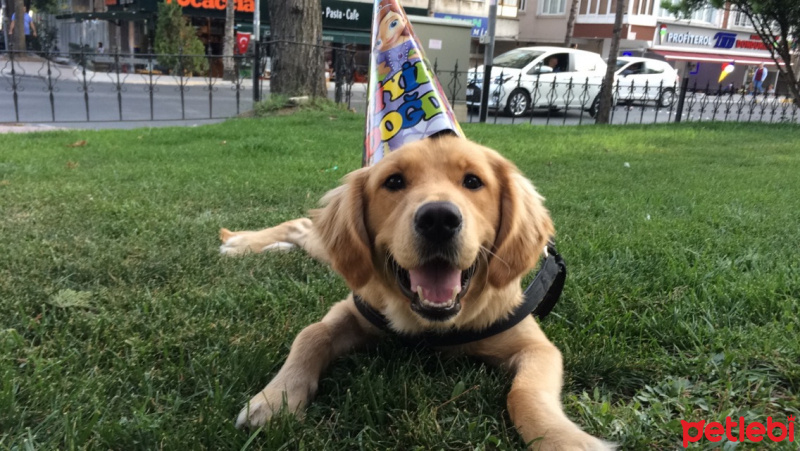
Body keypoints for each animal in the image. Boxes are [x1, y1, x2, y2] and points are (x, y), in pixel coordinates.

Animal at [219, 136, 612, 450]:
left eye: (473, 181)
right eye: (394, 181)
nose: (438, 219)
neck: (434, 325)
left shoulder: (535, 345)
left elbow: (525, 392)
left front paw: (566, 440)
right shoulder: (353, 308)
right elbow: (310, 334)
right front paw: (276, 399)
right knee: (302, 224)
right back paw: (240, 244)